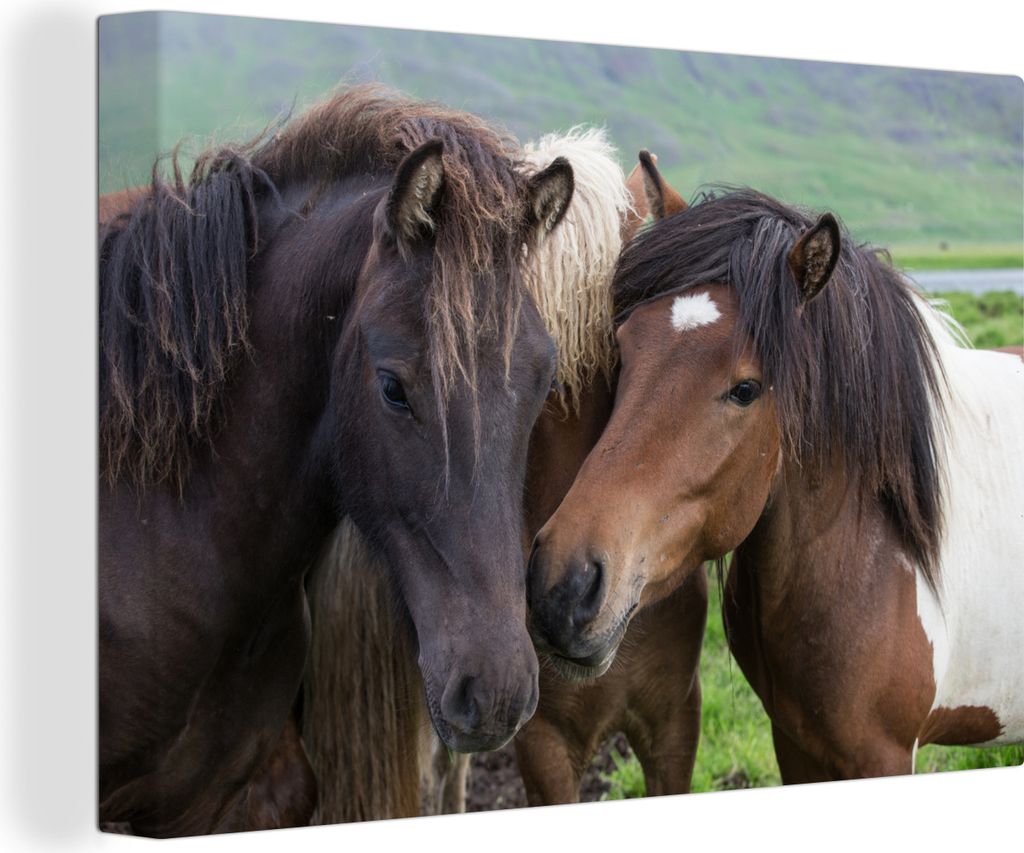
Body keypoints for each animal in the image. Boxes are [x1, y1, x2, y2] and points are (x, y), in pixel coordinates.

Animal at [528, 187, 1024, 781]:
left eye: (746, 389)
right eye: (621, 353)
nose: (563, 586)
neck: (876, 553)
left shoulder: (881, 755)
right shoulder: (794, 740)